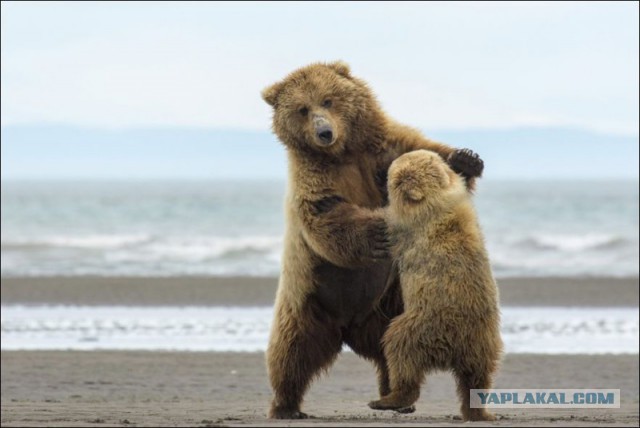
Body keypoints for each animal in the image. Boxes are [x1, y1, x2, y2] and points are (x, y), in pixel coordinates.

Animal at [260, 61, 484, 420]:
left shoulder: (382, 152)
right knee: (290, 351)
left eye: (328, 100)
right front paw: (377, 233)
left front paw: (466, 158)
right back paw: (286, 405)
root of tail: (347, 326)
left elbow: (423, 158)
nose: (324, 132)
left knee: (388, 350)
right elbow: (326, 212)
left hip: (386, 305)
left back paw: (396, 397)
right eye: (302, 109)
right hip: (307, 297)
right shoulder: (313, 176)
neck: (343, 152)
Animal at [368, 150, 502, 422]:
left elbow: (384, 221)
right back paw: (479, 412)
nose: (386, 165)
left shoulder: (404, 226)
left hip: (424, 324)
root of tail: (452, 349)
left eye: (394, 169)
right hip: (483, 341)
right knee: (476, 378)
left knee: (399, 348)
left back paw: (387, 400)